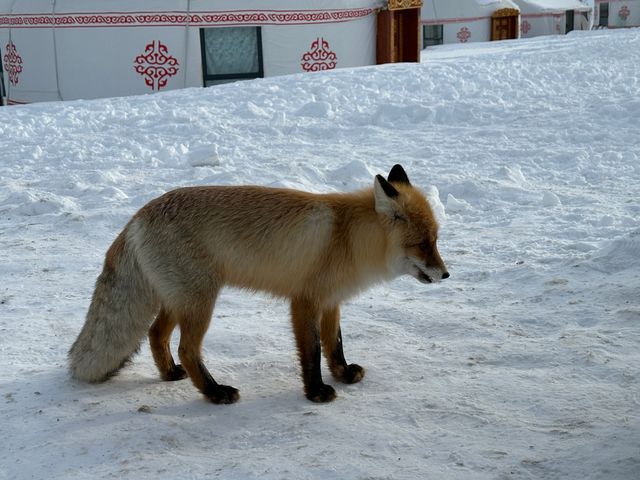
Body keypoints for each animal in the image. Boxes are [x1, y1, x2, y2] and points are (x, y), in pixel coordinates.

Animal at [69, 163, 450, 404]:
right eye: (423, 243)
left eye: (436, 240)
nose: (446, 274)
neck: (348, 238)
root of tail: (137, 216)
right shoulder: (305, 302)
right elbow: (313, 351)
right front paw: (316, 393)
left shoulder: (331, 301)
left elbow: (335, 345)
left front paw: (342, 374)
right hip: (200, 302)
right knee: (186, 348)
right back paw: (214, 393)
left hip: (180, 300)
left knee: (155, 334)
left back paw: (171, 374)